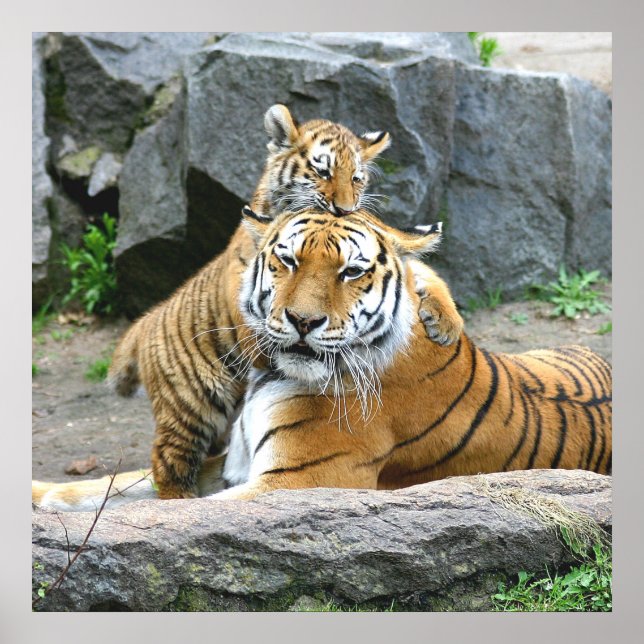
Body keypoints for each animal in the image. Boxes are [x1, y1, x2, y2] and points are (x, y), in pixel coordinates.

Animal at [33, 105, 464, 502]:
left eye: (356, 178)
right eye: (323, 172)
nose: (345, 207)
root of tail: (144, 323)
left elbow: (423, 272)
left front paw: (445, 322)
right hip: (190, 408)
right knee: (168, 465)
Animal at [33, 209, 611, 511]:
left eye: (351, 271)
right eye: (287, 259)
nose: (302, 321)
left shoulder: (296, 481)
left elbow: (172, 510)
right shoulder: (231, 463)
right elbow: (117, 484)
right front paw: (42, 493)